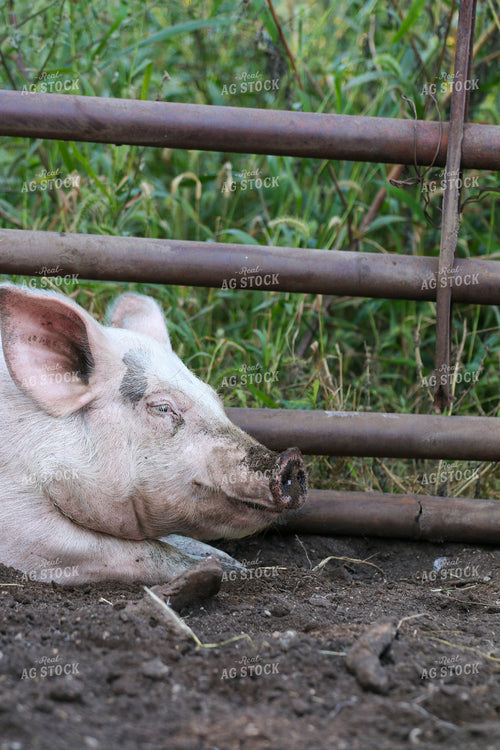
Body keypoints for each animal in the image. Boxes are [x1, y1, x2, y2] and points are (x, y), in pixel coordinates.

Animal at [0, 283, 307, 584]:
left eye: (214, 398)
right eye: (163, 407)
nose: (290, 461)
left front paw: (232, 563)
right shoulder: (20, 520)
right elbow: (140, 551)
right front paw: (226, 572)